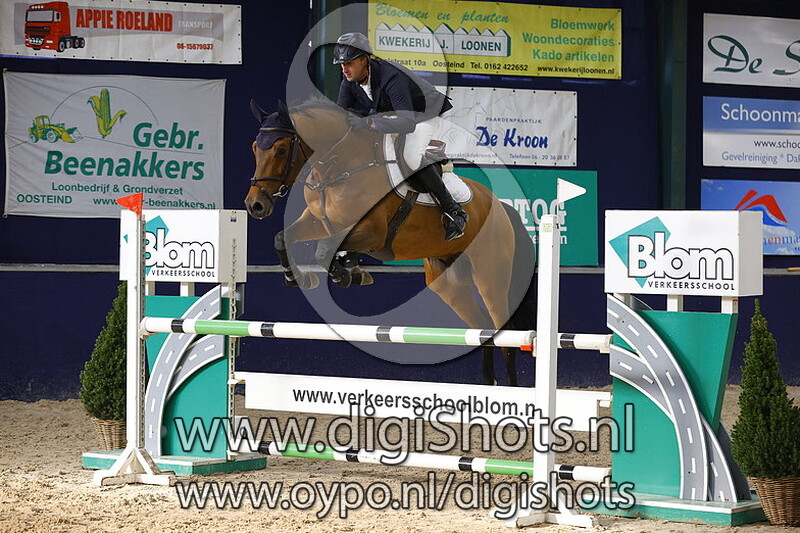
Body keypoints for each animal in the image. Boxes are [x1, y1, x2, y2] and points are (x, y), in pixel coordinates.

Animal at [245, 99, 536, 386]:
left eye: (281, 149)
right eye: (255, 148)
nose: (255, 205)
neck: (340, 166)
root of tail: (501, 207)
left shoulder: (374, 234)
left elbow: (324, 251)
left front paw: (348, 274)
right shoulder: (318, 221)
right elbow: (282, 239)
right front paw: (299, 278)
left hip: (490, 276)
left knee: (506, 337)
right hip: (448, 283)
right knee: (483, 328)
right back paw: (489, 384)